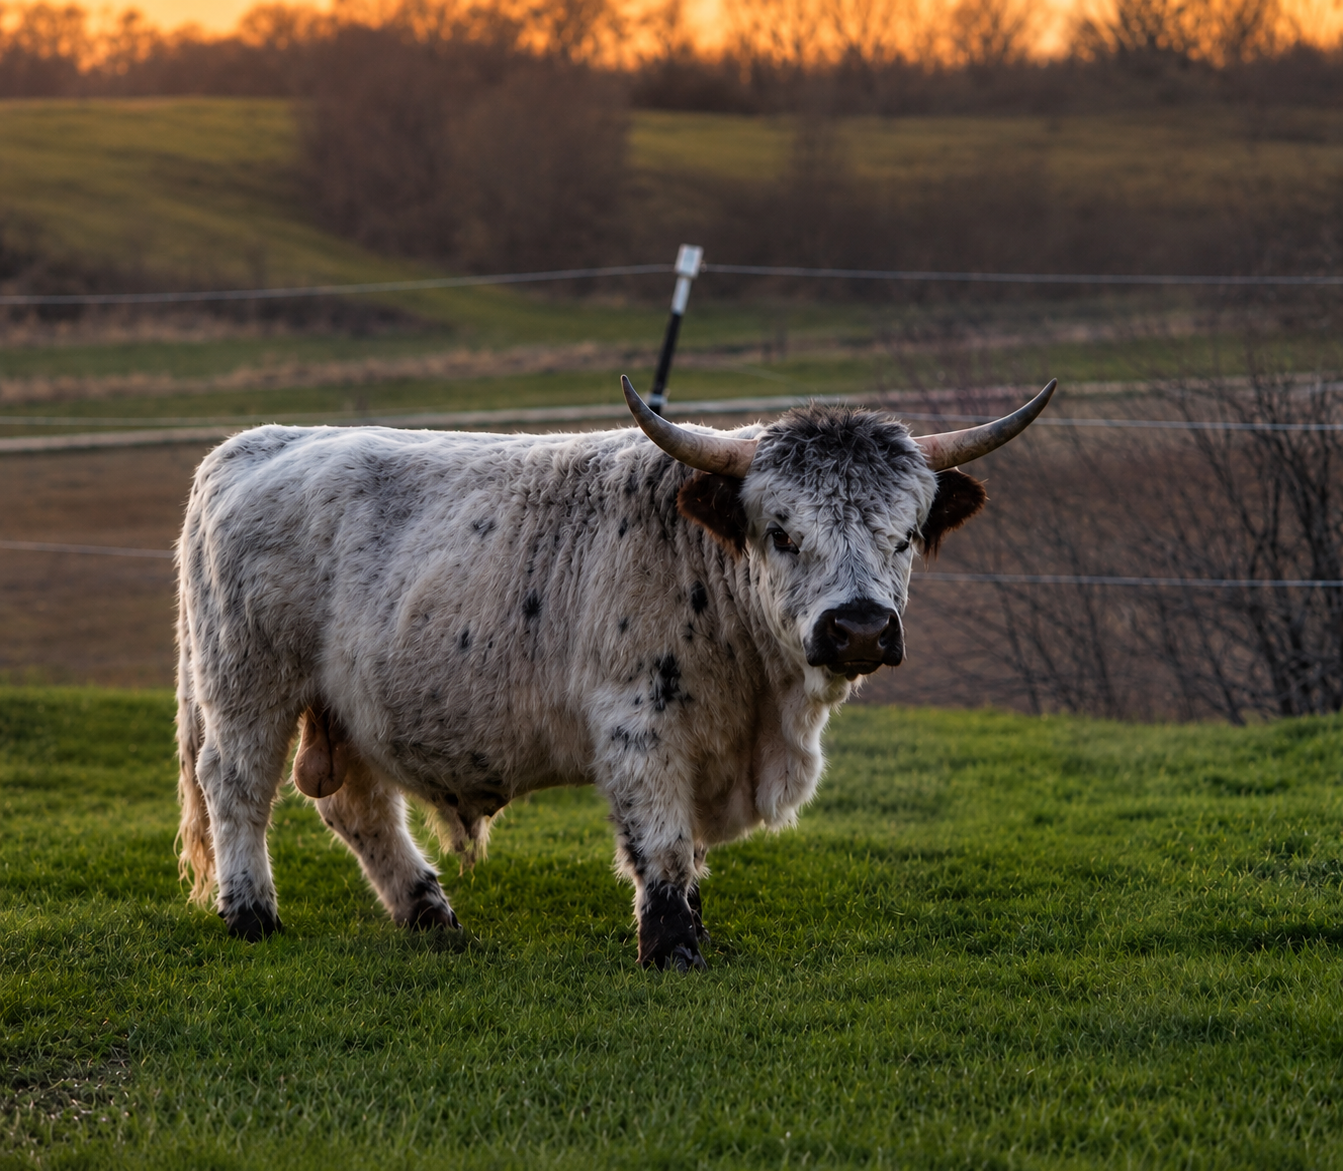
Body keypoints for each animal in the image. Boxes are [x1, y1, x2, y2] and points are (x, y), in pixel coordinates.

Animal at [175, 376, 1056, 970]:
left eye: (905, 534)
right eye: (780, 531)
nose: (861, 628)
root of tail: (254, 444)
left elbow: (688, 849)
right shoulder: (640, 726)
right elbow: (660, 842)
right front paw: (671, 946)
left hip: (350, 704)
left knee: (358, 806)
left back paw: (429, 913)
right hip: (248, 682)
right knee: (236, 784)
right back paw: (250, 912)